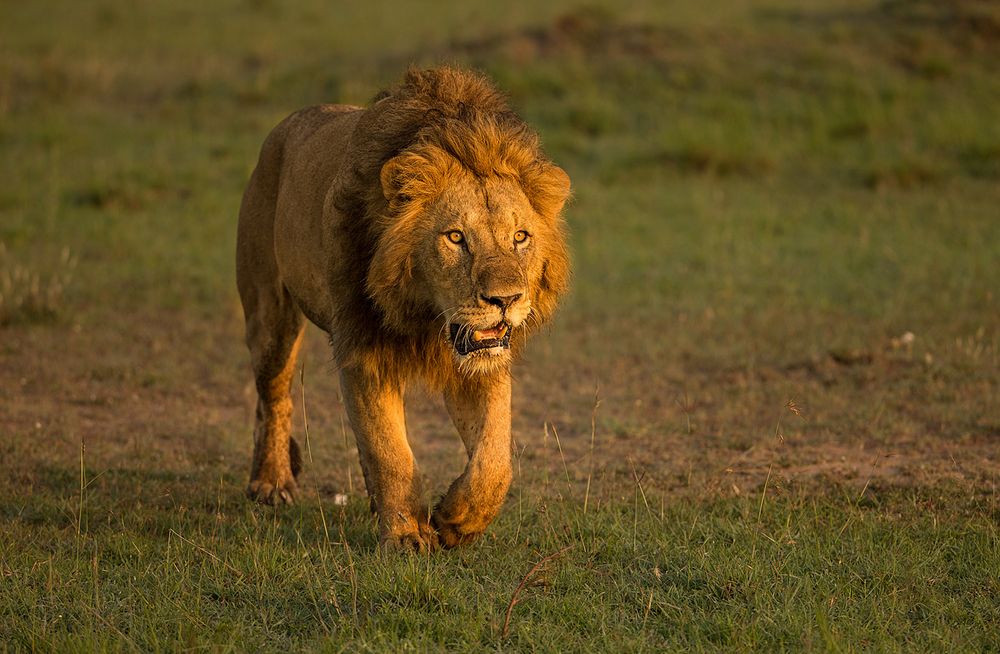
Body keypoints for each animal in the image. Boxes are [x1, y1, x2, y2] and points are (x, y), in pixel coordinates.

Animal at [232, 66, 572, 552]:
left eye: (520, 237)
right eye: (455, 238)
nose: (505, 300)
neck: (427, 318)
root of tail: (286, 125)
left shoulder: (480, 360)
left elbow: (494, 459)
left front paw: (456, 519)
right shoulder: (364, 350)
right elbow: (390, 451)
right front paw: (408, 534)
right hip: (270, 316)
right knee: (273, 398)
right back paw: (271, 483)